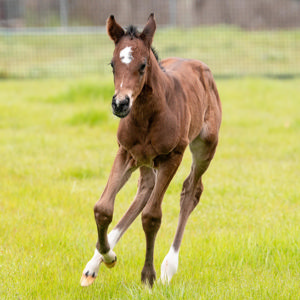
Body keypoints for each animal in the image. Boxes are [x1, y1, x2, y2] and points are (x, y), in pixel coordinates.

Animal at [81, 12, 221, 288]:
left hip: (205, 146)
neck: (147, 114)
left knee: (190, 191)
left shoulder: (171, 157)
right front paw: (107, 257)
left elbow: (152, 216)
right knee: (144, 190)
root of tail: (202, 68)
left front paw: (149, 276)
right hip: (144, 161)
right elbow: (103, 208)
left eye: (143, 65)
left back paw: (169, 266)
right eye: (112, 65)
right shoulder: (125, 152)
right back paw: (93, 265)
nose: (120, 104)